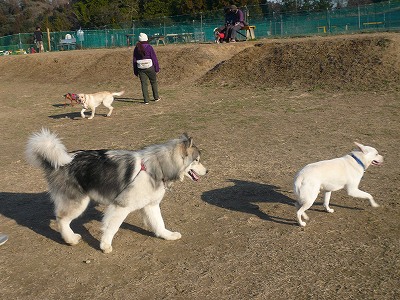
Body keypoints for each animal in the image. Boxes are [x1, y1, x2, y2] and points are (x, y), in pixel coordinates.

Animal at [25, 129, 208, 253]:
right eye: (197, 160)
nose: (207, 171)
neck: (155, 167)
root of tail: (60, 161)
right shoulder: (121, 206)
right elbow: (112, 227)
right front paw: (105, 245)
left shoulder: (151, 205)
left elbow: (159, 223)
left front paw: (167, 235)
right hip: (79, 202)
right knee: (61, 218)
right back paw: (70, 239)